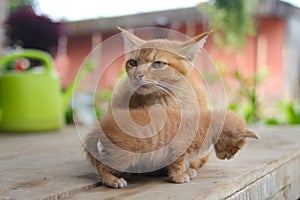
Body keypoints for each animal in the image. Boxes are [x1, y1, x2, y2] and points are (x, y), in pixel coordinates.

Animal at [84, 108, 258, 188]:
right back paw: (113, 180)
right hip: (124, 155)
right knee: (101, 165)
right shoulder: (179, 146)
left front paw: (187, 171)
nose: (230, 157)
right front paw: (179, 177)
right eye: (235, 149)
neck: (207, 122)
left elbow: (184, 163)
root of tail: (100, 126)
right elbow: (178, 164)